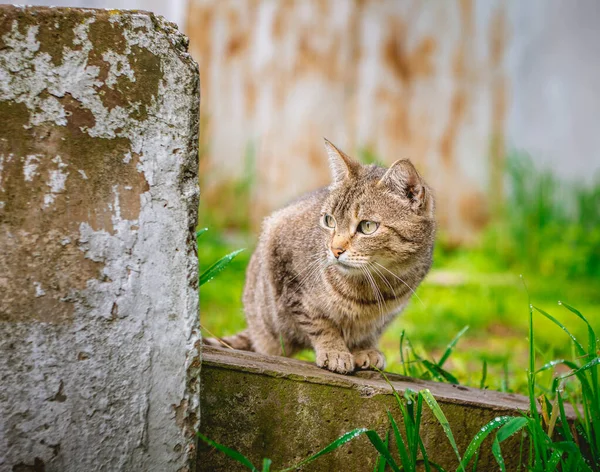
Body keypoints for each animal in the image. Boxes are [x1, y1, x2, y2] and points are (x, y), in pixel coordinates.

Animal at [203, 138, 436, 374]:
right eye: (329, 220)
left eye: (367, 226)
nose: (335, 250)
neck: (371, 286)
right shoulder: (287, 271)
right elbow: (320, 324)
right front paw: (335, 351)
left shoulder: (387, 314)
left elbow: (369, 331)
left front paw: (364, 349)